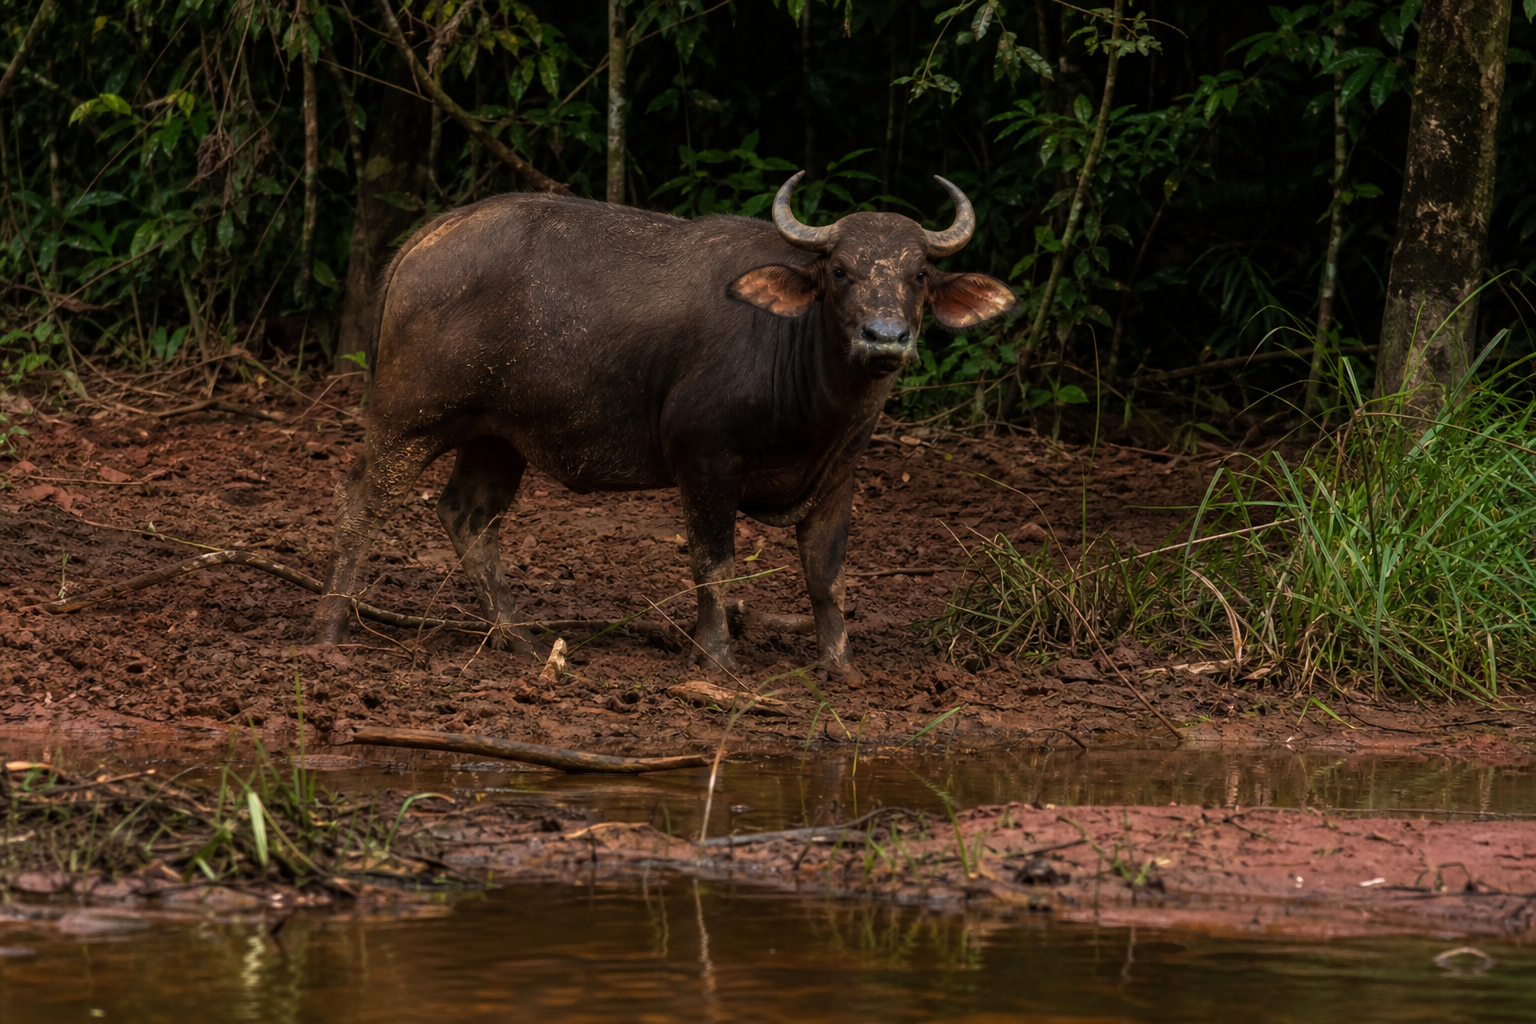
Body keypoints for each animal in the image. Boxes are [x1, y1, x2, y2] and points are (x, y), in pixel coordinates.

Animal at [313, 172, 1016, 683]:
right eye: (840, 271)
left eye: (918, 274)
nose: (885, 338)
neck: (805, 380)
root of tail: (426, 241)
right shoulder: (706, 459)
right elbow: (714, 561)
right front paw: (716, 656)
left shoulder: (838, 476)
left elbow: (827, 573)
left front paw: (839, 664)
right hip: (408, 417)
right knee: (360, 502)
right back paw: (329, 632)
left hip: (496, 438)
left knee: (468, 516)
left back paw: (521, 642)